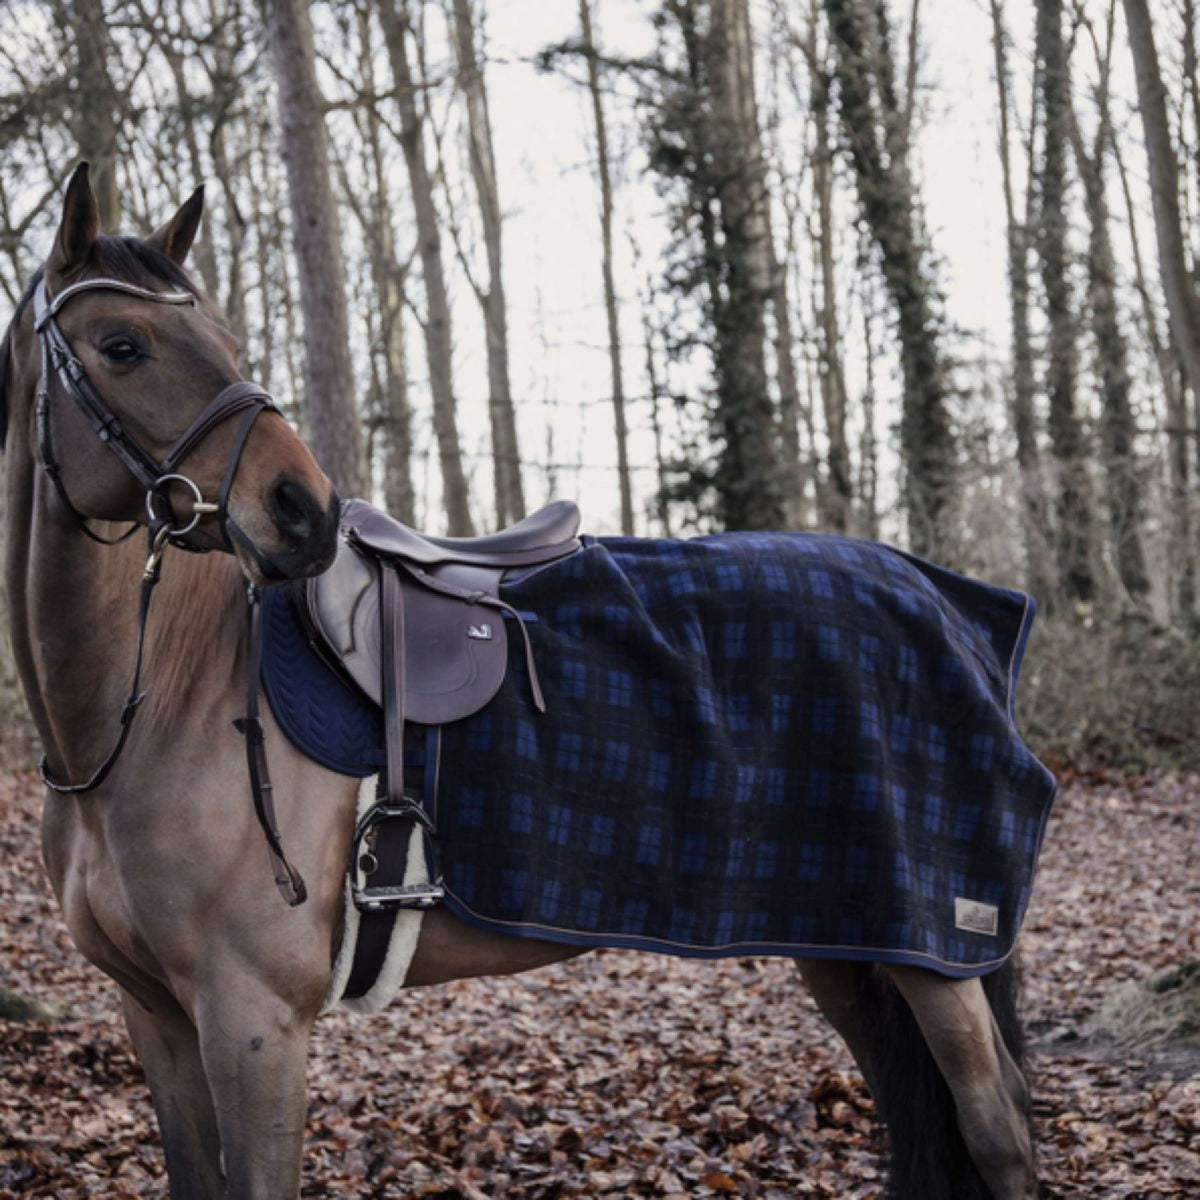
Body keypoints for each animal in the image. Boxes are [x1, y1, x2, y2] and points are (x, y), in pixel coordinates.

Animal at [0, 162, 1036, 1200]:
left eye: (224, 340)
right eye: (123, 345)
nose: (305, 511)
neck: (152, 710)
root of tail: (954, 603)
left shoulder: (253, 1023)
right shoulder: (157, 1017)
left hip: (938, 957)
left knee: (999, 1129)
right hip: (849, 945)